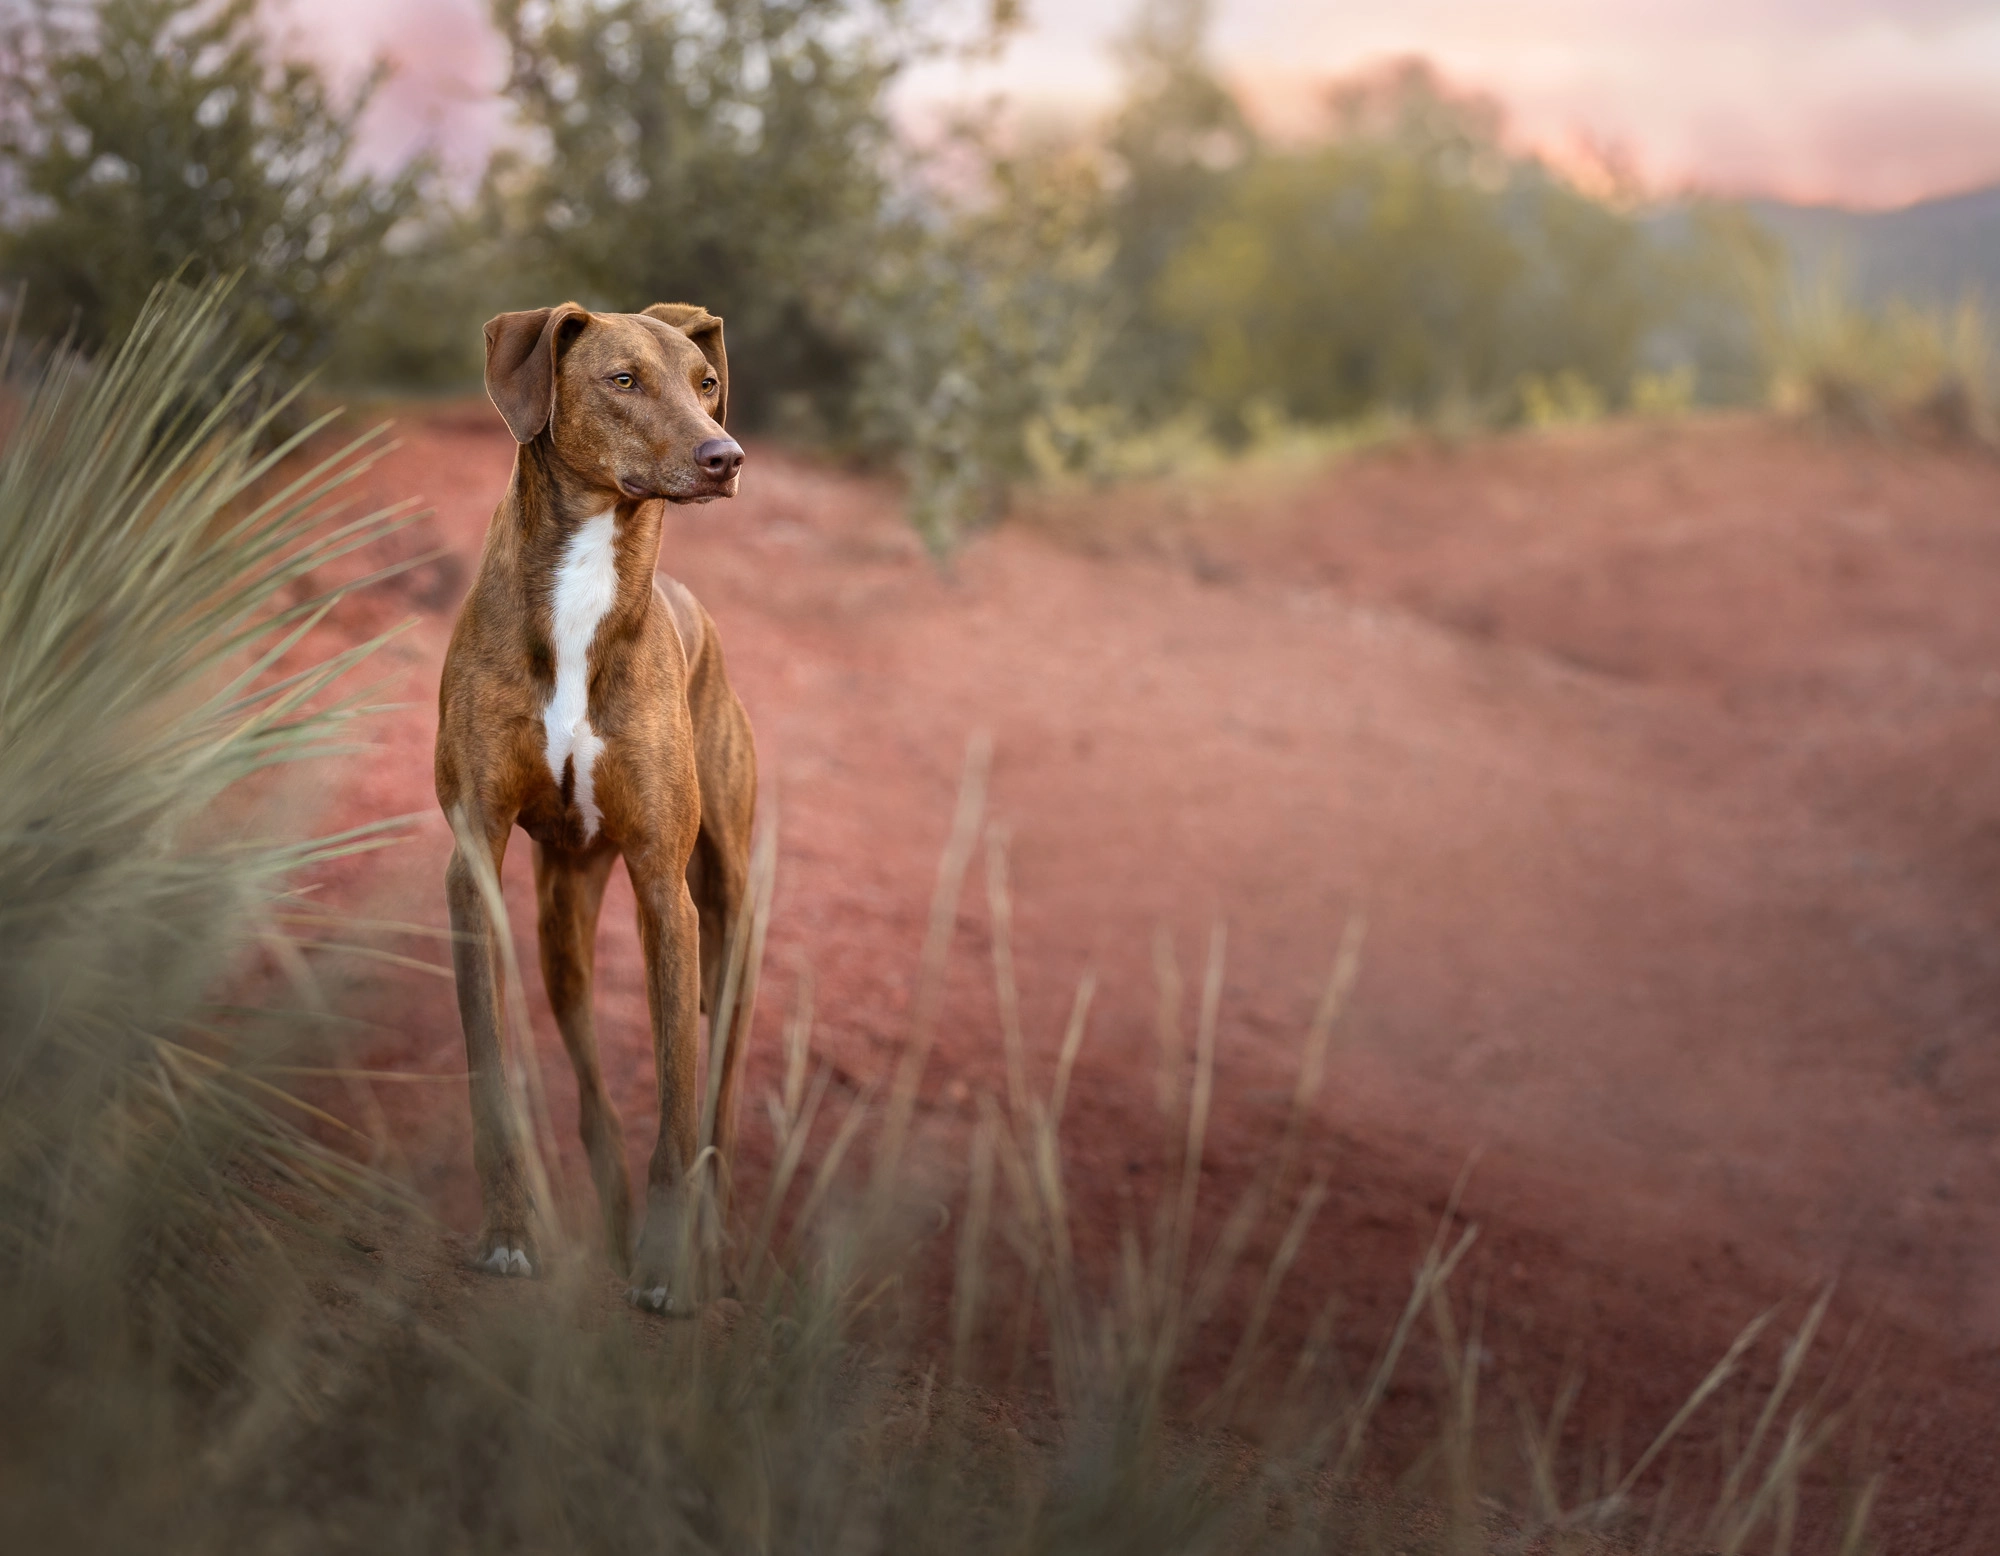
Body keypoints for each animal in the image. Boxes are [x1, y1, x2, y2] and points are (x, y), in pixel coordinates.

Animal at [434, 294, 752, 1312]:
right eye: (622, 380)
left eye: (706, 382)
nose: (726, 456)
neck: (589, 584)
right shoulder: (475, 863)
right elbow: (491, 1076)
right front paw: (507, 1234)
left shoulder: (664, 892)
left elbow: (679, 1099)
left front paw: (666, 1269)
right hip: (563, 919)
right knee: (590, 1088)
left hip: (730, 915)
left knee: (718, 1094)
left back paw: (712, 1243)